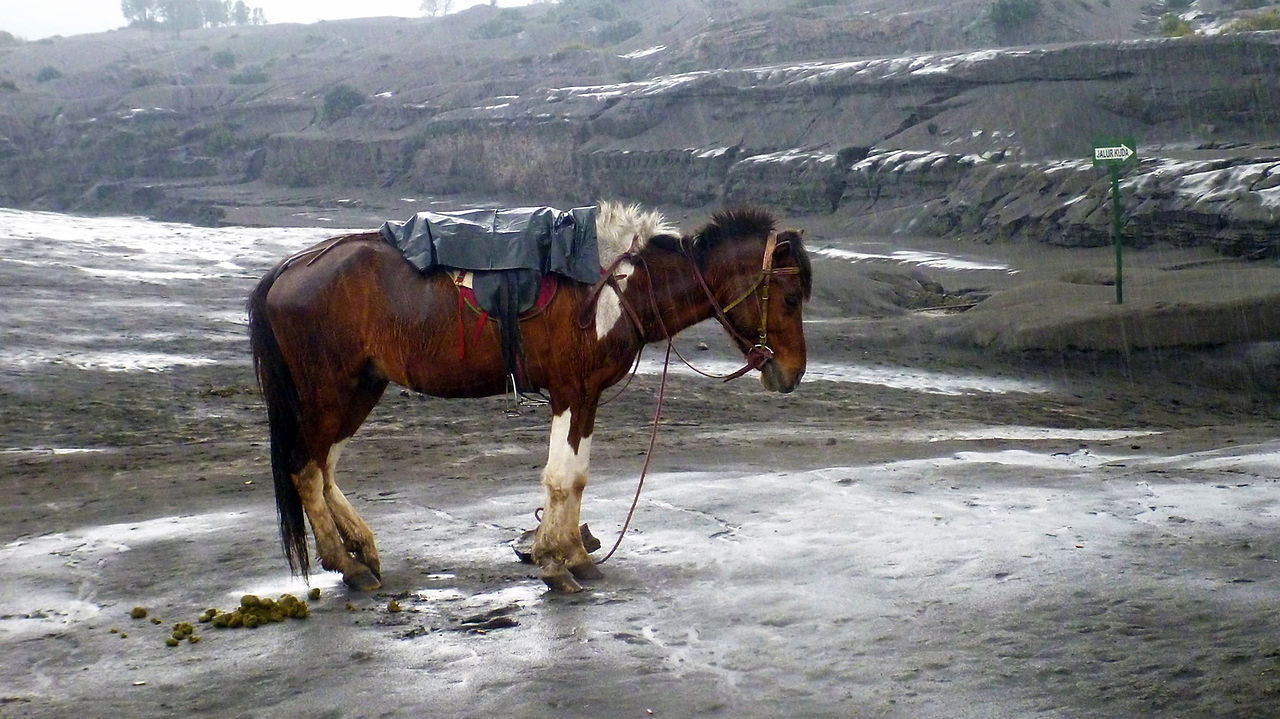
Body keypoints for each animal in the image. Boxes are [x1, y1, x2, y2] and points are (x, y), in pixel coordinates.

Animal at [246, 202, 812, 593]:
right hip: (328, 390)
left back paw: (361, 550)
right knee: (305, 470)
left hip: (360, 387)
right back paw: (347, 566)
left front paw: (573, 555)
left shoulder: (587, 395)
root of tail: (291, 267)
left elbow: (576, 477)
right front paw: (554, 564)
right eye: (788, 297)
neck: (617, 289)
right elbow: (560, 478)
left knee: (324, 467)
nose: (791, 374)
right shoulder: (570, 390)